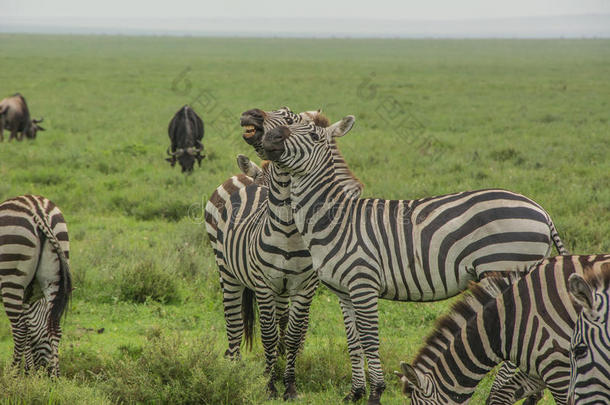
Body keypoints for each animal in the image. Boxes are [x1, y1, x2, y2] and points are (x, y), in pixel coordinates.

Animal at [0, 194, 72, 374]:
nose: (43, 370)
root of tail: (38, 210)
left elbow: (26, 330)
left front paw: (26, 371)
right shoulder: (27, 296)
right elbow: (30, 329)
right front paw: (29, 370)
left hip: (11, 273)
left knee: (19, 329)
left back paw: (13, 374)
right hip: (54, 275)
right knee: (53, 326)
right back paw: (55, 377)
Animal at [204, 107, 364, 398]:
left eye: (292, 119)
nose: (252, 114)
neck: (290, 231)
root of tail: (242, 176)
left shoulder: (306, 286)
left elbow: (293, 333)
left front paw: (288, 381)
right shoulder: (264, 284)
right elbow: (269, 334)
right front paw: (269, 384)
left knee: (280, 322)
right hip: (226, 270)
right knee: (233, 323)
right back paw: (233, 369)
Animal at [258, 117, 568, 404]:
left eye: (312, 135)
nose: (269, 136)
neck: (335, 220)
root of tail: (541, 210)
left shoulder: (363, 283)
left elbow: (369, 339)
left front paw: (376, 392)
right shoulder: (343, 292)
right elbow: (353, 341)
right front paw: (355, 393)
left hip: (504, 264)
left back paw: (496, 397)